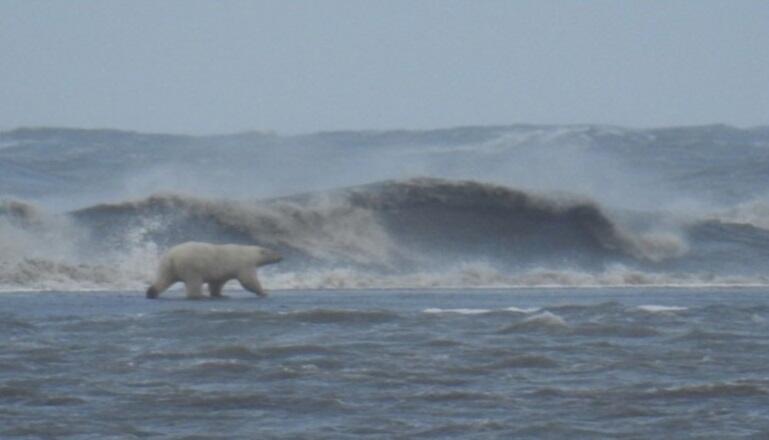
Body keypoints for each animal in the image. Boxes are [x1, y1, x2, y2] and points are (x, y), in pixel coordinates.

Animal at [146, 242, 282, 299]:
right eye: (274, 252)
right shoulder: (243, 264)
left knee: (163, 279)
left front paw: (220, 294)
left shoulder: (221, 271)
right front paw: (263, 292)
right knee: (194, 281)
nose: (281, 256)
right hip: (191, 266)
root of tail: (172, 257)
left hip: (166, 266)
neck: (249, 253)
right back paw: (199, 295)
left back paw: (151, 292)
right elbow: (248, 280)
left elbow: (217, 283)